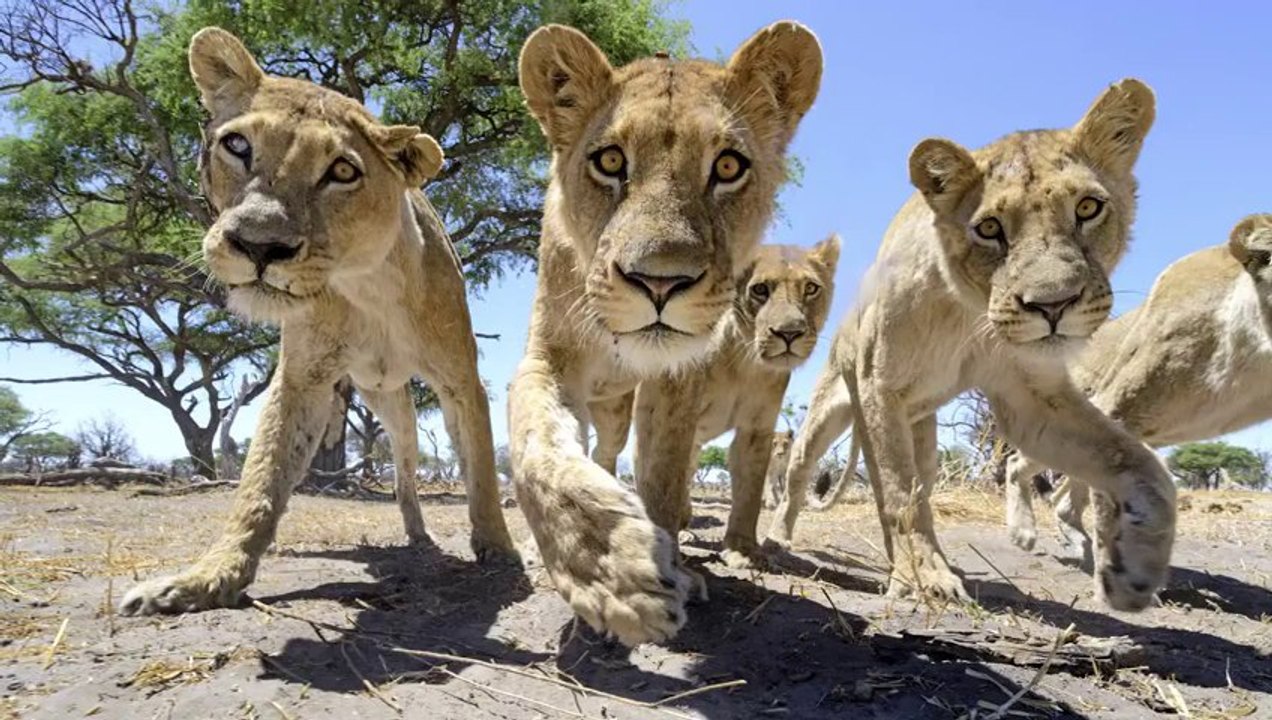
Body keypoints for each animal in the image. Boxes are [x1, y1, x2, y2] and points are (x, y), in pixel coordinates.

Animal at [120, 28, 515, 615]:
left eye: (342, 171)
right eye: (237, 146)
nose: (260, 245)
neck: (368, 285)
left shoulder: (460, 380)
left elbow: (482, 469)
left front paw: (500, 549)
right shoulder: (302, 378)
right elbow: (262, 479)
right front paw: (206, 578)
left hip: (398, 409)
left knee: (405, 470)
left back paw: (420, 535)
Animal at [588, 238, 840, 569]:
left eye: (811, 288)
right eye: (760, 289)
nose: (789, 333)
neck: (745, 361)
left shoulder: (756, 427)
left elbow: (749, 492)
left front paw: (743, 551)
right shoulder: (671, 406)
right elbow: (663, 475)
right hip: (617, 414)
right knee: (605, 452)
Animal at [765, 79, 1176, 611]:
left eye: (1088, 207)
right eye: (989, 228)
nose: (1053, 304)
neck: (968, 313)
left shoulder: (1030, 398)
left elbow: (1140, 464)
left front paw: (1132, 572)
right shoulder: (879, 387)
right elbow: (898, 495)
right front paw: (924, 579)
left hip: (922, 431)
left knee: (920, 485)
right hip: (828, 411)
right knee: (804, 476)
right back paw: (779, 539)